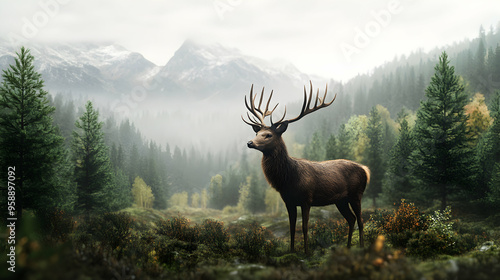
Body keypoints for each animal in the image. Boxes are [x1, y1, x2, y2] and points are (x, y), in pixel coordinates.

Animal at [243, 81, 372, 254]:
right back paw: (348, 247)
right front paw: (291, 251)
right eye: (258, 133)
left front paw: (306, 252)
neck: (287, 178)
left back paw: (362, 247)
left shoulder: (306, 198)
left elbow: (304, 227)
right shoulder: (288, 201)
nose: (250, 142)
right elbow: (291, 227)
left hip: (356, 193)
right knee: (351, 219)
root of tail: (365, 170)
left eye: (268, 135)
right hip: (341, 200)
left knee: (360, 219)